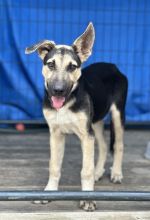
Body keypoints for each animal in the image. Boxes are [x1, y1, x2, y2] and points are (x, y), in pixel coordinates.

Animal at [25, 22, 127, 211]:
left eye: (72, 67)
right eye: (50, 64)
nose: (57, 90)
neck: (66, 104)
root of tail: (113, 66)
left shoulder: (86, 136)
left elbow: (85, 170)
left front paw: (87, 199)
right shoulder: (56, 134)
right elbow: (54, 166)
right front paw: (49, 192)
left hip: (118, 113)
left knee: (118, 145)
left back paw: (116, 173)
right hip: (95, 121)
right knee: (103, 145)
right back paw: (98, 172)